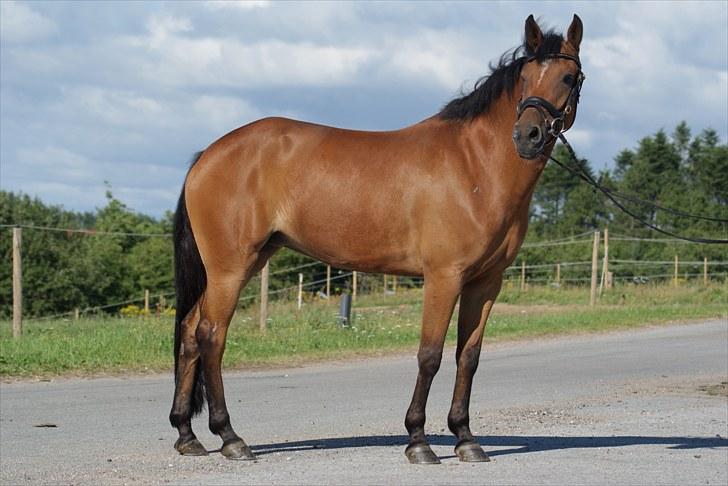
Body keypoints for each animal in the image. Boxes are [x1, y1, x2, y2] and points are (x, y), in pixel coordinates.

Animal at [169, 14, 585, 464]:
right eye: (525, 77)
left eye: (568, 76)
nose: (527, 136)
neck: (474, 166)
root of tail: (207, 156)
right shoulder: (444, 277)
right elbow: (430, 355)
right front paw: (418, 441)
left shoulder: (486, 282)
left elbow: (468, 357)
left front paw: (465, 438)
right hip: (230, 268)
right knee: (211, 336)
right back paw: (230, 437)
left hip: (245, 262)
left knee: (190, 332)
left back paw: (187, 435)